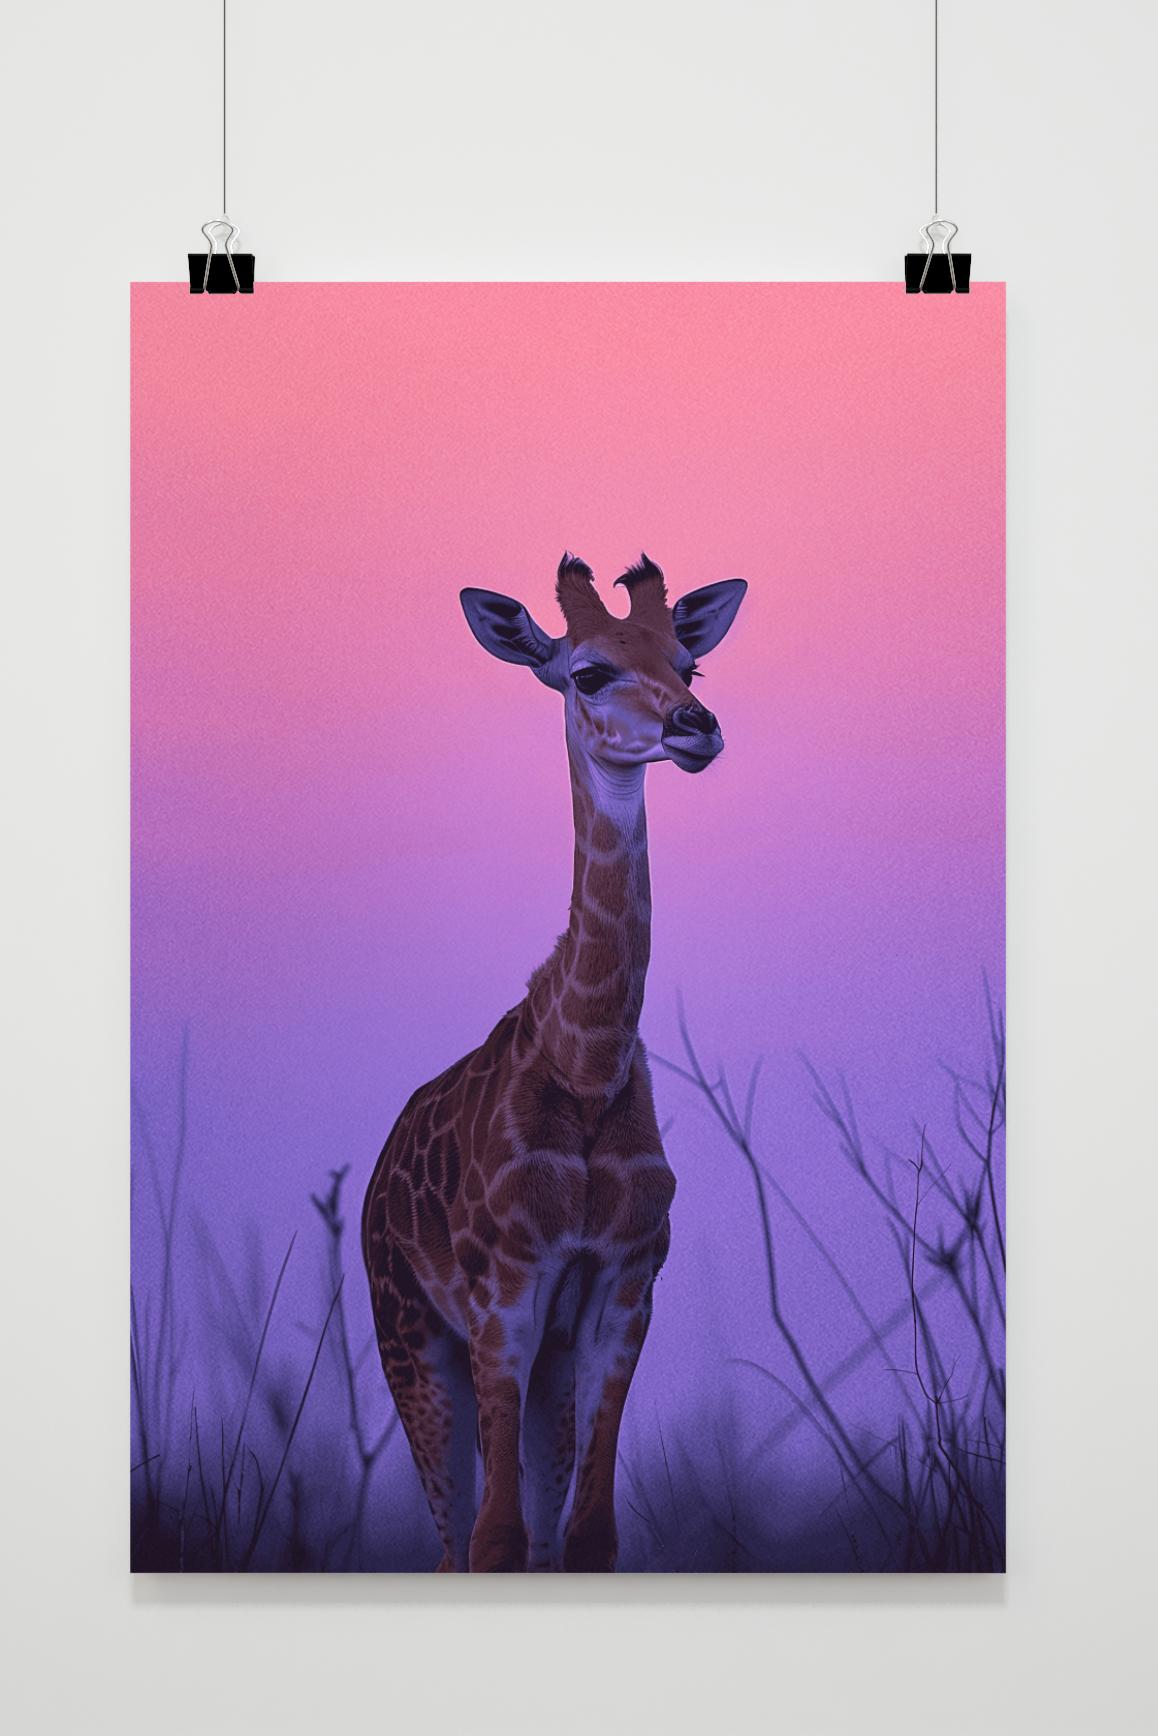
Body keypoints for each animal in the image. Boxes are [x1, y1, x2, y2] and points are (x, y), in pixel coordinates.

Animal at [362, 552, 747, 1571]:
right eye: (588, 672)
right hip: (412, 1340)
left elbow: (586, 1536)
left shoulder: (623, 1287)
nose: (697, 727)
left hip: (544, 1370)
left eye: (688, 666)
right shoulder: (504, 1292)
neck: (588, 1063)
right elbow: (495, 1540)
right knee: (454, 1541)